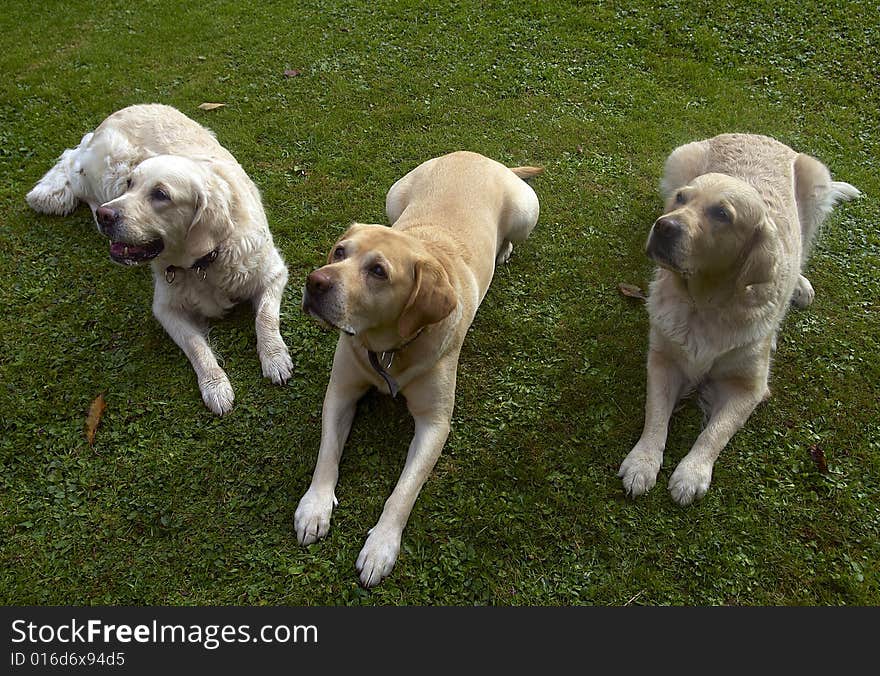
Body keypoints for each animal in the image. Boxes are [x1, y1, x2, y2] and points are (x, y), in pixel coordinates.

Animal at [27, 103, 292, 414]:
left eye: (161, 194)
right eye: (131, 185)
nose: (106, 216)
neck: (206, 259)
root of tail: (117, 114)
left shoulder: (273, 272)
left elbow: (265, 317)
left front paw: (275, 357)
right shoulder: (165, 308)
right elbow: (196, 345)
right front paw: (215, 386)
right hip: (109, 172)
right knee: (72, 157)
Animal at [620, 135, 860, 504]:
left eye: (722, 214)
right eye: (682, 199)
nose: (664, 226)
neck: (703, 304)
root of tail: (760, 135)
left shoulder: (749, 387)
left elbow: (716, 432)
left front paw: (692, 473)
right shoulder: (663, 359)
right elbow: (655, 414)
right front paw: (641, 463)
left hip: (816, 180)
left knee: (804, 248)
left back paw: (799, 286)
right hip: (681, 156)